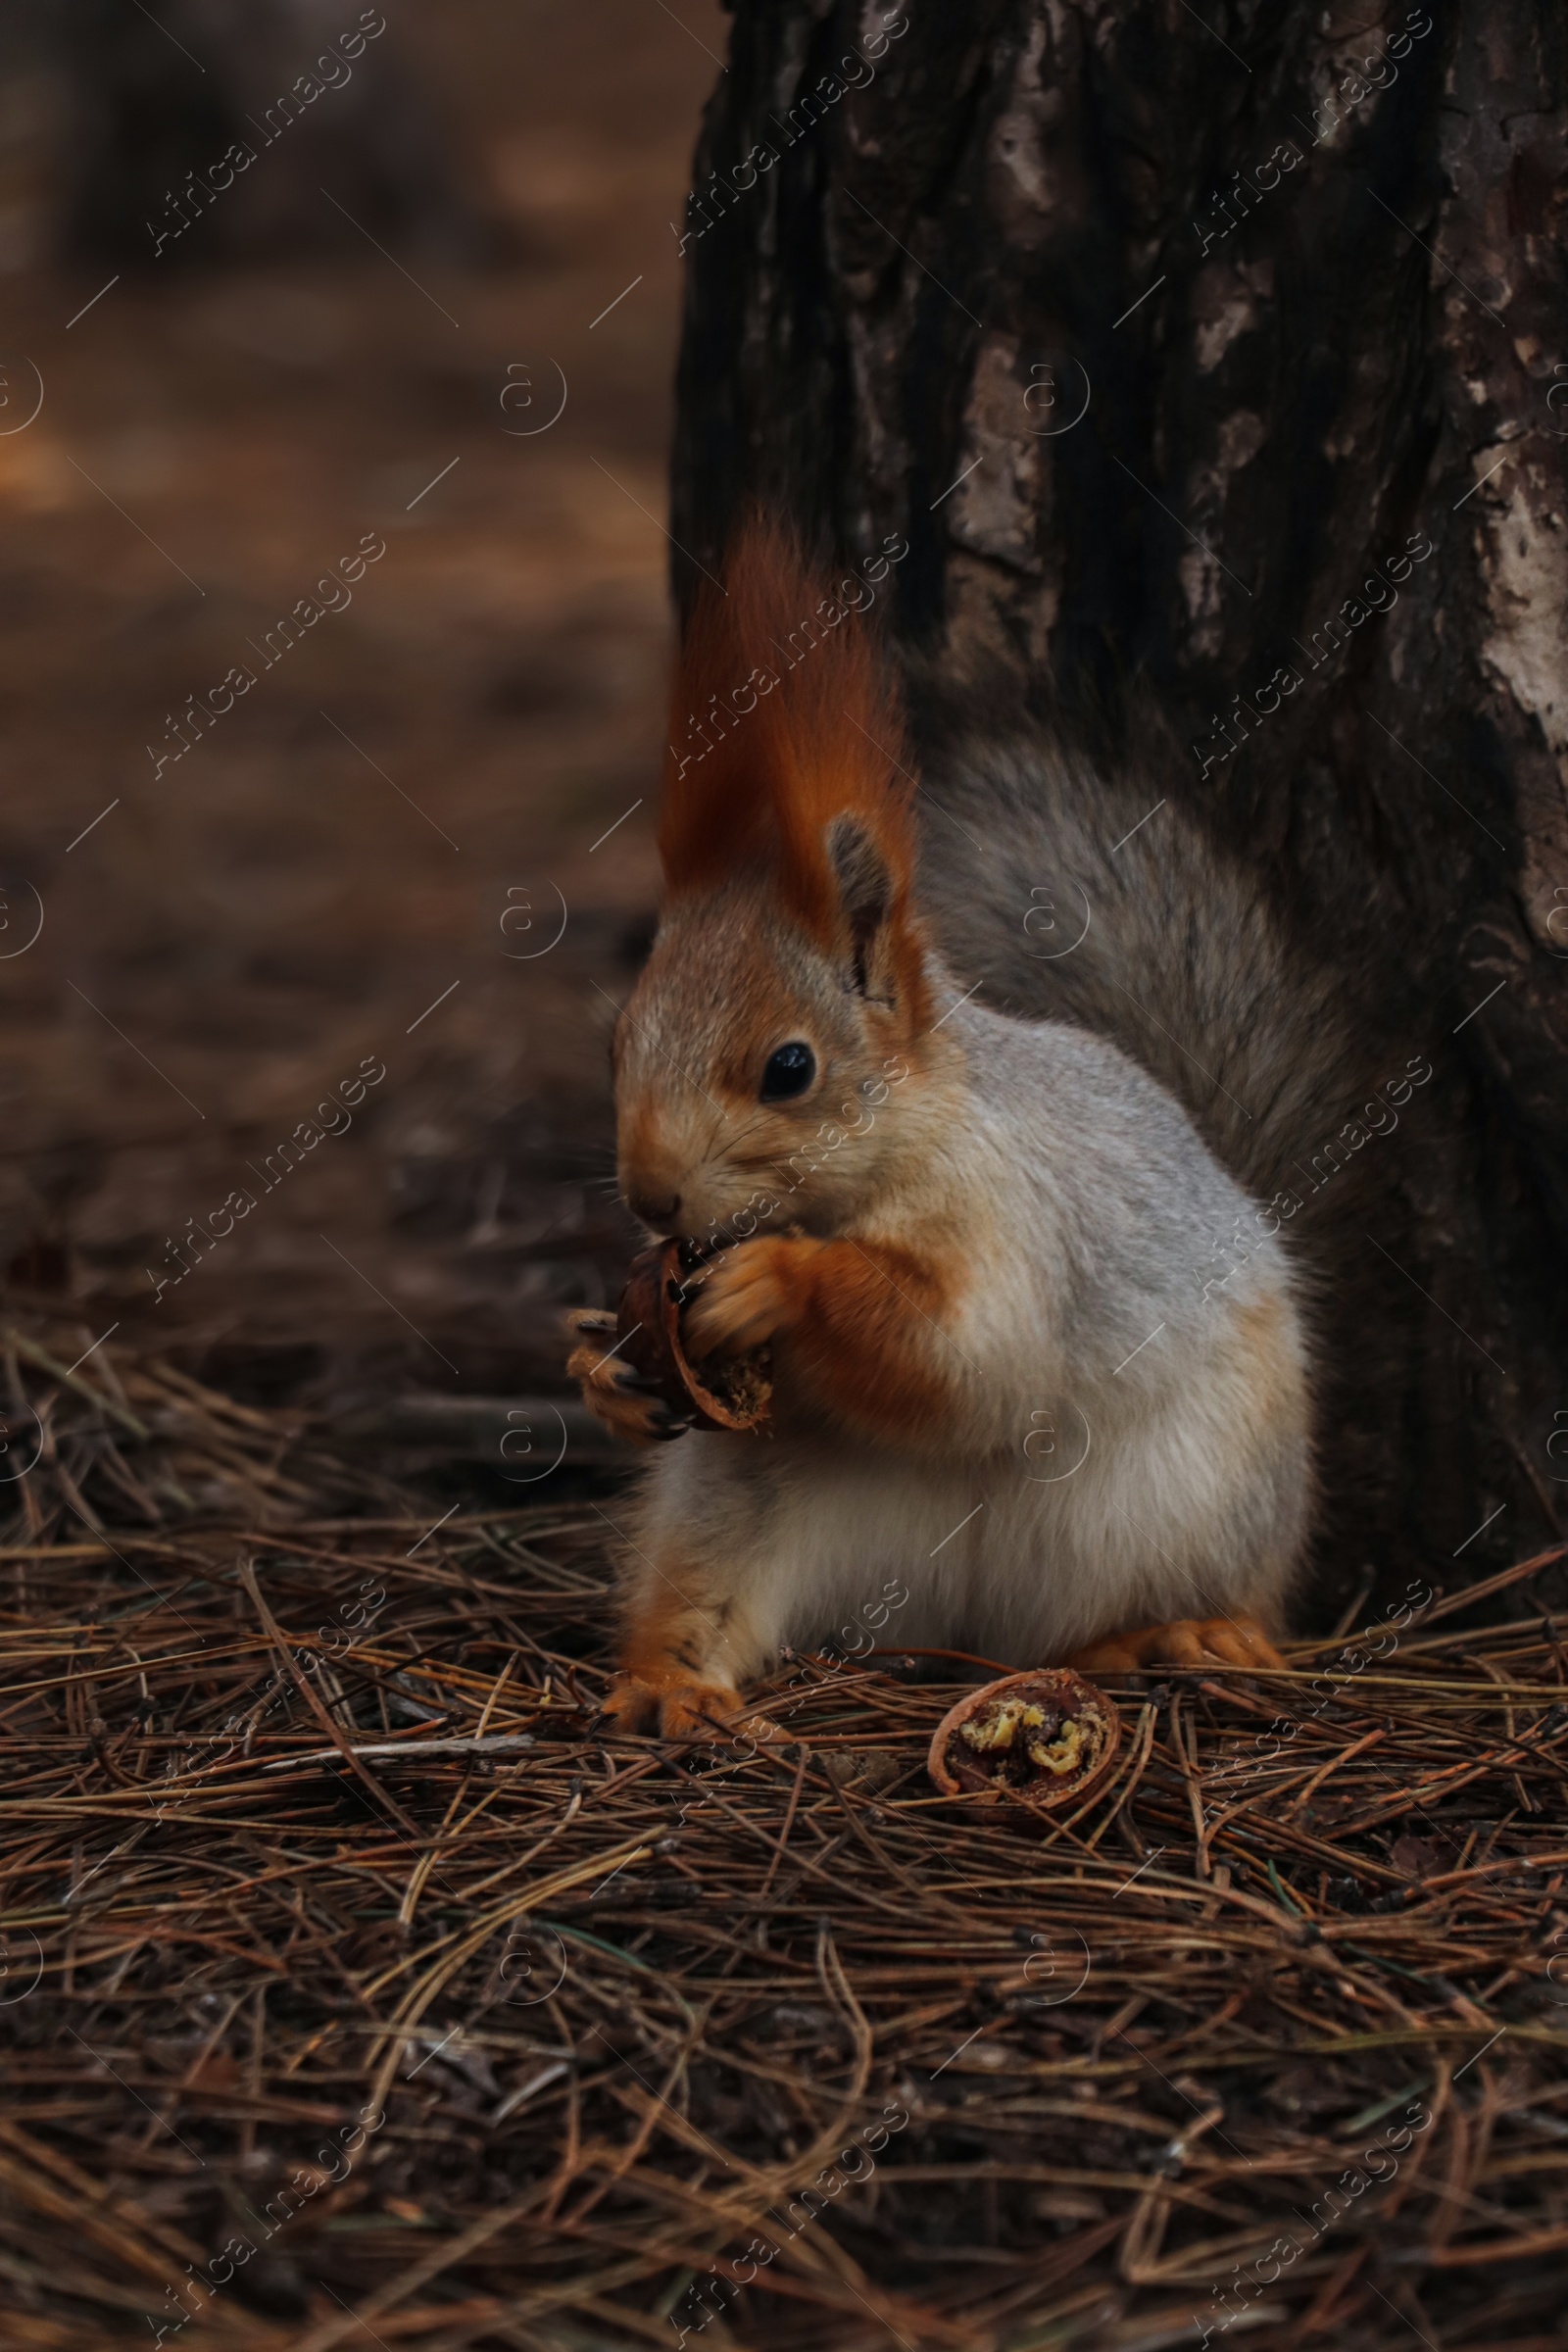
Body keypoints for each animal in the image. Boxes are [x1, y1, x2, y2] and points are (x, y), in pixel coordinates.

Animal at [566, 524, 1363, 1759]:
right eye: (618, 1040)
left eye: (789, 1068)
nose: (652, 1199)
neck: (874, 1172)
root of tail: (958, 1615)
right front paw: (597, 1362)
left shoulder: (1015, 1221)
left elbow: (964, 1356)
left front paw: (780, 1283)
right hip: (744, 1497)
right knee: (703, 1590)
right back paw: (669, 1683)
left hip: (1199, 1502)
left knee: (1175, 1600)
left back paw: (1177, 1634)